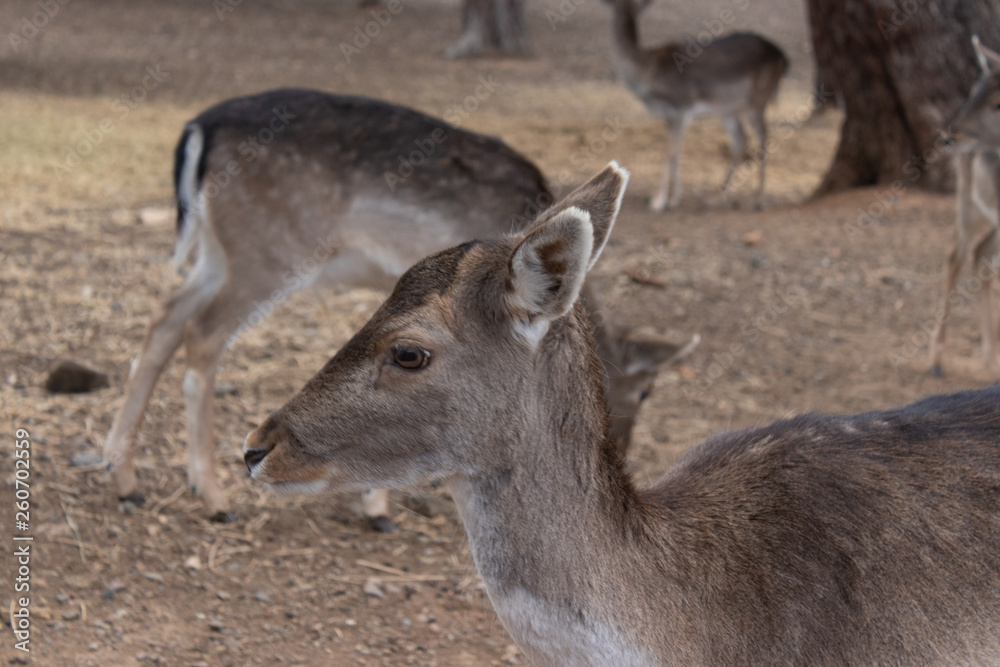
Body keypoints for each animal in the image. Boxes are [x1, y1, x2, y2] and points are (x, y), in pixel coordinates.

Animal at [103, 88, 696, 528]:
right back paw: (210, 494)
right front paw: (377, 506)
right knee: (202, 333)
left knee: (165, 316)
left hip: (215, 249)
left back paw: (123, 475)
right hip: (266, 250)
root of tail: (197, 129)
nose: (621, 449)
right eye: (645, 388)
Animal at [604, 0, 784, 210]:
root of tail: (783, 57)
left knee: (763, 140)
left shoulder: (679, 107)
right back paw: (715, 197)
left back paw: (759, 200)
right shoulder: (676, 114)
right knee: (741, 140)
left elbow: (669, 153)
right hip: (729, 108)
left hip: (757, 101)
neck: (646, 72)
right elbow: (677, 152)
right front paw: (674, 199)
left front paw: (658, 201)